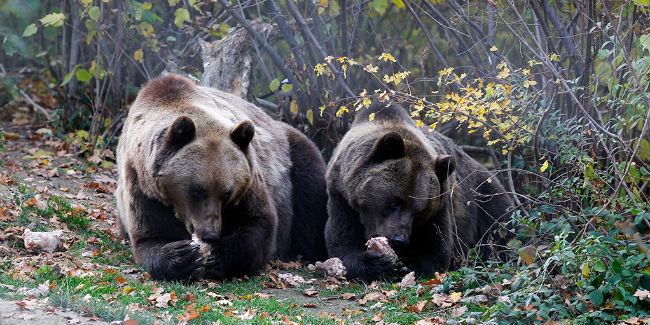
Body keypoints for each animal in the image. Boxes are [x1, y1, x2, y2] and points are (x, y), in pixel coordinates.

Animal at [114, 74, 326, 280]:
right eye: (197, 191)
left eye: (226, 193)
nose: (211, 234)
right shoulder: (142, 186)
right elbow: (149, 237)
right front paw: (182, 257)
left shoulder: (249, 179)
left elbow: (259, 223)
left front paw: (219, 256)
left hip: (292, 156)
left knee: (311, 194)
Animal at [324, 101, 512, 280]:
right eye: (394, 202)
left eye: (419, 212)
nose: (399, 240)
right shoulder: (342, 198)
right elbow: (343, 245)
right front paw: (379, 262)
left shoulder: (440, 206)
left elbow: (436, 252)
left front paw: (406, 264)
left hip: (482, 196)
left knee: (499, 225)